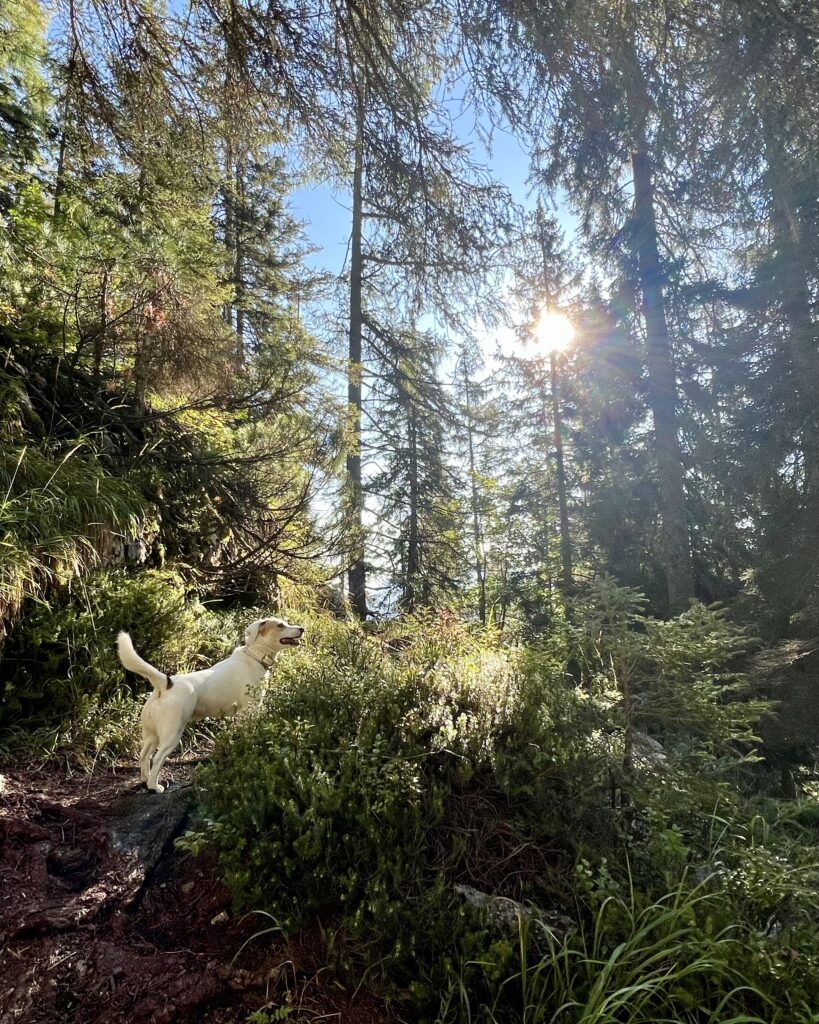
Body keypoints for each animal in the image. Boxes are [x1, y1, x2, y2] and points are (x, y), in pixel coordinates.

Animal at [115, 614, 303, 790]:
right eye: (280, 625)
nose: (302, 629)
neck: (254, 655)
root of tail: (166, 683)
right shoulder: (248, 711)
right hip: (172, 734)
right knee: (157, 758)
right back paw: (155, 786)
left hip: (151, 734)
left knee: (144, 756)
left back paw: (145, 780)